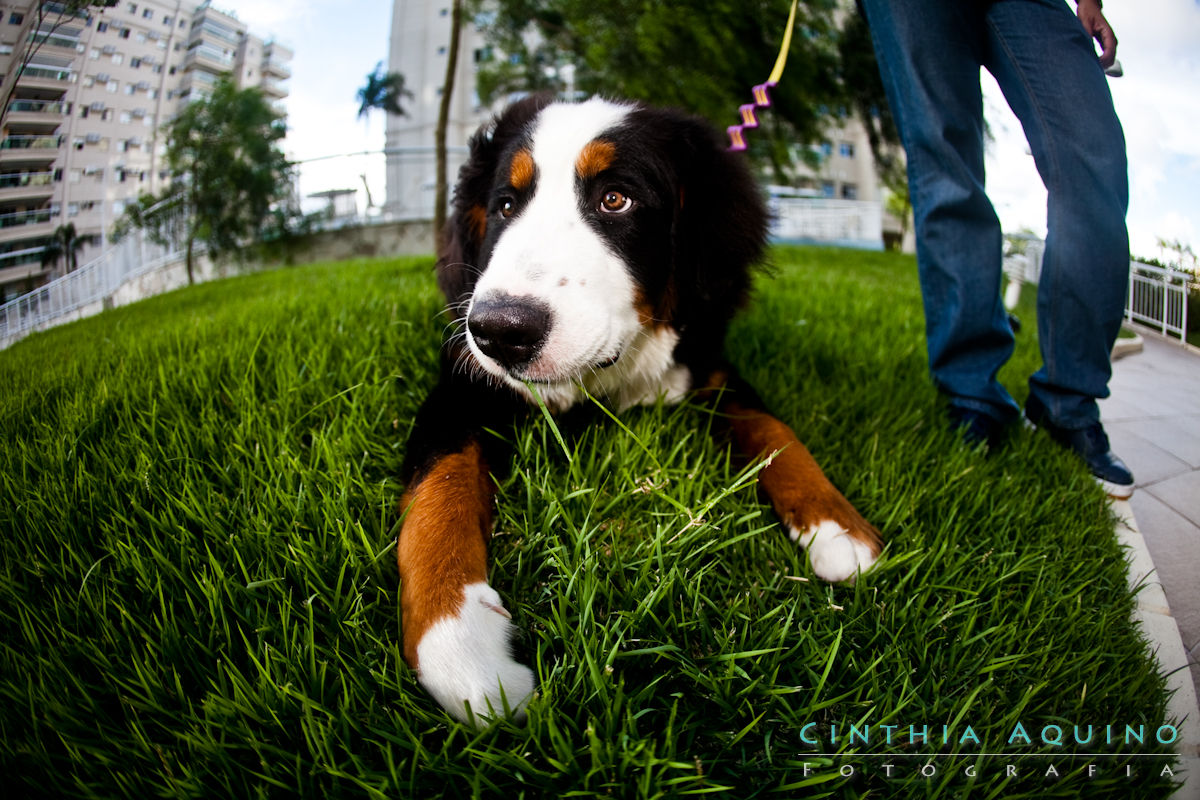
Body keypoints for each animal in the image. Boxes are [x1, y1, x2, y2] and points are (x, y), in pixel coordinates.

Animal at [400, 95, 883, 724]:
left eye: (616, 199)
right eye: (505, 205)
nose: (500, 331)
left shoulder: (709, 369)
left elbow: (775, 430)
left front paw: (836, 524)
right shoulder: (462, 382)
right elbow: (438, 489)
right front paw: (459, 641)